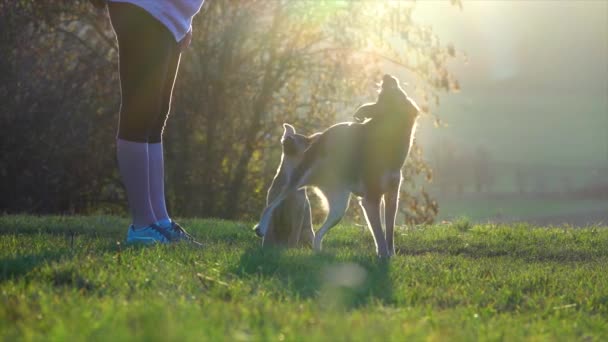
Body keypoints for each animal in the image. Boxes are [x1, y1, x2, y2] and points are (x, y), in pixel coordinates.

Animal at [254, 75, 420, 256]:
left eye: (391, 93)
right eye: (384, 95)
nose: (386, 77)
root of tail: (317, 138)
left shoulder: (391, 197)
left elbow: (389, 233)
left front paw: (390, 255)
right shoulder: (371, 199)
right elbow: (380, 237)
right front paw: (383, 257)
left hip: (339, 208)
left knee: (318, 233)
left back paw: (318, 253)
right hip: (298, 182)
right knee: (272, 204)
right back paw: (261, 227)